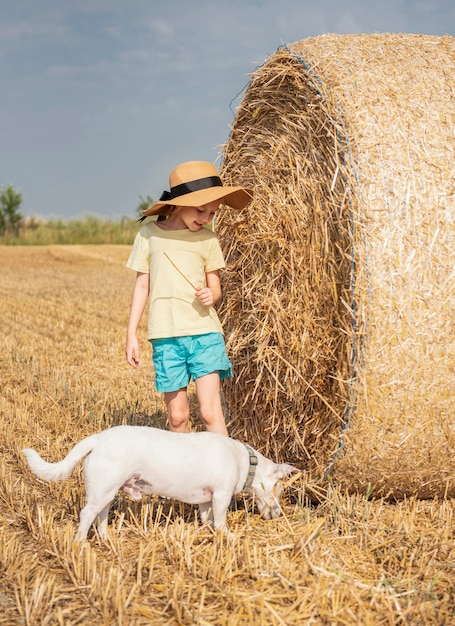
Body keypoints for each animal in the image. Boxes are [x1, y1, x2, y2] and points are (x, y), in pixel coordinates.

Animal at [24, 426, 300, 540]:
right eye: (279, 489)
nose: (279, 515)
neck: (246, 462)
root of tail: (97, 439)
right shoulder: (221, 495)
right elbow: (220, 521)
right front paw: (228, 536)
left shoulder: (206, 500)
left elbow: (207, 519)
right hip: (102, 491)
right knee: (86, 515)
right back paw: (80, 543)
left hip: (107, 492)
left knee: (100, 516)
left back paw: (105, 537)